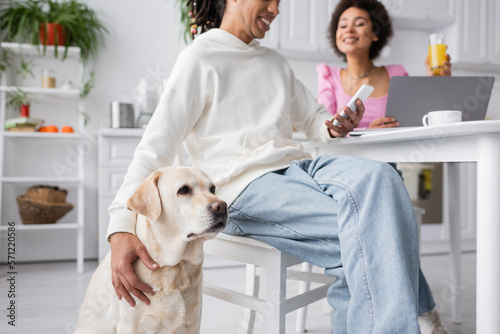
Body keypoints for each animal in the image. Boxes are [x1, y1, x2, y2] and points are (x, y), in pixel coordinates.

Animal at [75, 167, 228, 334]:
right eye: (184, 190)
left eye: (212, 189)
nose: (222, 206)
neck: (174, 268)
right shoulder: (129, 326)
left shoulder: (193, 324)